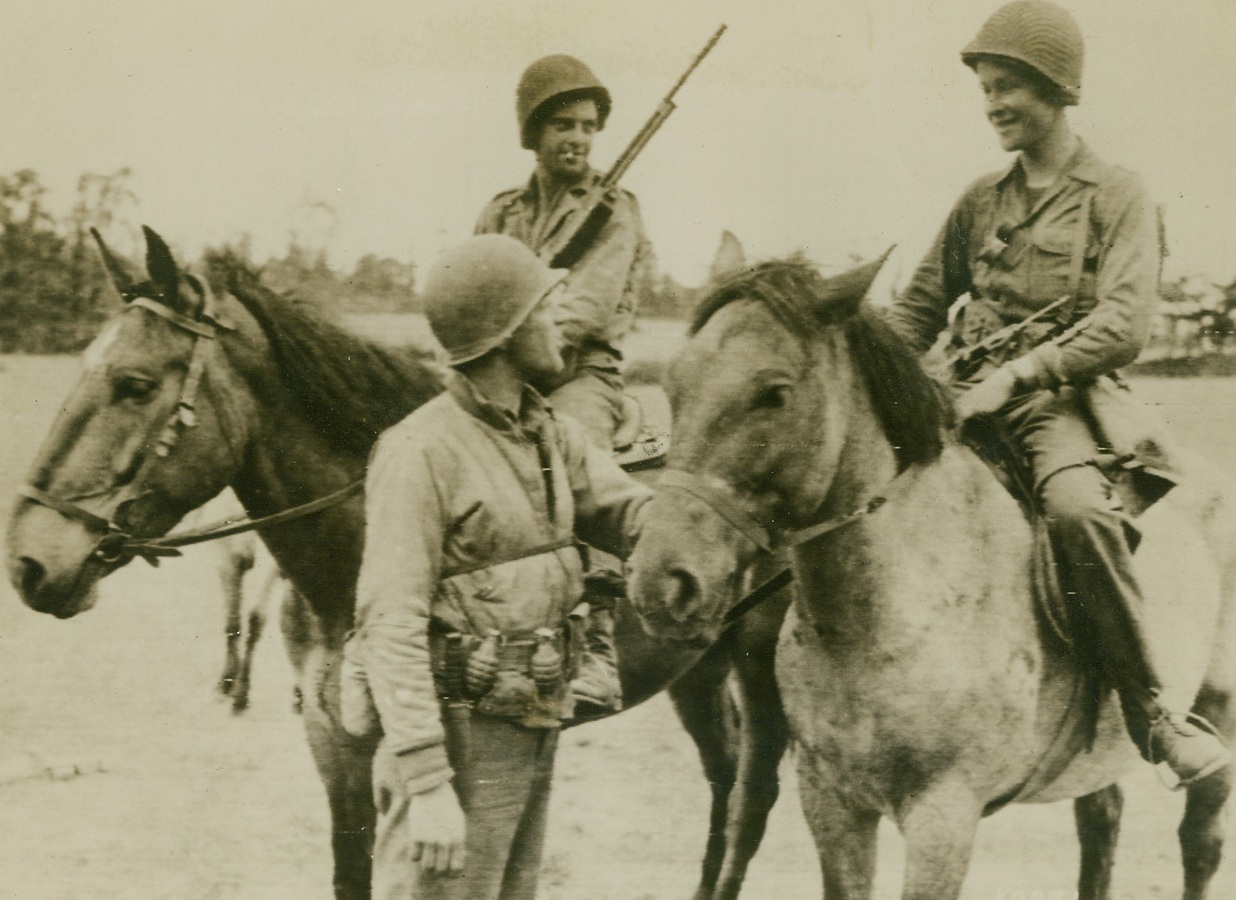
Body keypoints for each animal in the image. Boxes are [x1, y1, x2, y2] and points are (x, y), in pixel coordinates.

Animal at [4, 226, 786, 900]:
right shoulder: (335, 746)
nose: (29, 563)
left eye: (134, 384)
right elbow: (350, 871)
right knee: (723, 777)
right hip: (699, 667)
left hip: (760, 666)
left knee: (754, 795)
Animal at [627, 257, 1236, 895]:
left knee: (1201, 843)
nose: (660, 581)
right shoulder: (832, 801)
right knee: (1102, 823)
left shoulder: (943, 815)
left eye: (775, 393)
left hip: (1219, 713)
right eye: (673, 385)